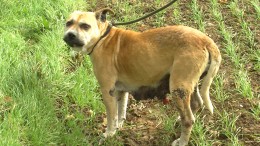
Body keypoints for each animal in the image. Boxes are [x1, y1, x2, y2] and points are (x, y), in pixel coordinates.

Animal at [63, 8, 221, 146]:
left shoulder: (107, 91)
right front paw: (119, 127)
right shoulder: (120, 90)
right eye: (68, 23)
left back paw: (182, 141)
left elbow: (111, 117)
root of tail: (205, 40)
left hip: (178, 87)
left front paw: (109, 134)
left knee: (188, 119)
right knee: (196, 104)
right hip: (188, 86)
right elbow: (121, 111)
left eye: (85, 26)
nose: (70, 34)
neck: (103, 38)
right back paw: (179, 120)